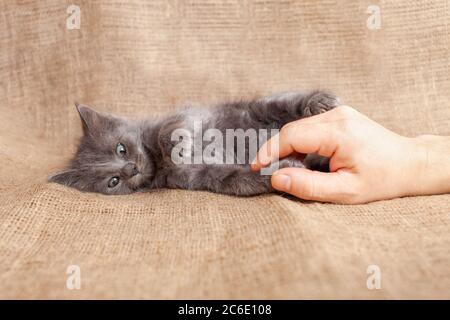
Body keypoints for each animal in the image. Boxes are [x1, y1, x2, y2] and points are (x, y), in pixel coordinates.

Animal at [50, 90, 338, 195]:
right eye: (113, 181)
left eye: (121, 148)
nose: (131, 169)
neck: (156, 162)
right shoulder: (200, 176)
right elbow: (240, 179)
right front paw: (282, 169)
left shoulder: (193, 114)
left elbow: (170, 127)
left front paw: (178, 147)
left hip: (252, 109)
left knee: (281, 102)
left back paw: (319, 102)